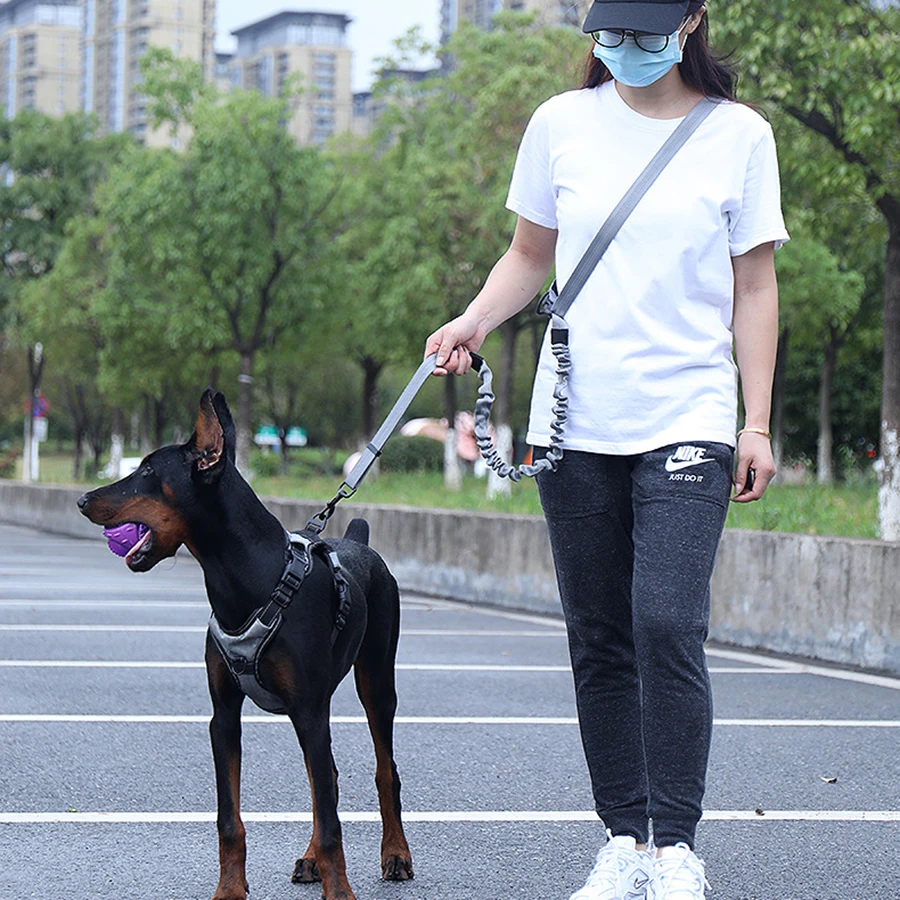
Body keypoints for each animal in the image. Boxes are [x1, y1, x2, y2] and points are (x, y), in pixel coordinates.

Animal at [77, 392, 414, 900]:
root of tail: (359, 539)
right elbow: (230, 818)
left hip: (375, 679)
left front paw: (340, 892)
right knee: (328, 780)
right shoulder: (224, 715)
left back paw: (395, 854)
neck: (247, 580)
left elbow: (333, 819)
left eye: (149, 471)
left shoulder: (309, 710)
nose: (82, 499)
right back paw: (310, 860)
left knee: (381, 771)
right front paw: (230, 889)